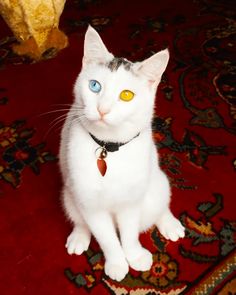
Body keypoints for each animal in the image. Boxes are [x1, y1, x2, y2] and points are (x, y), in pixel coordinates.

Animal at [59, 24, 184, 282]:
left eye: (127, 95)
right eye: (94, 85)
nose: (103, 109)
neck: (108, 149)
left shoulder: (131, 201)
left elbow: (129, 233)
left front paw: (134, 255)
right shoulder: (90, 205)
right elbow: (107, 238)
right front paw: (117, 262)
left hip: (156, 183)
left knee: (159, 204)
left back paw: (169, 223)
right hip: (68, 194)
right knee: (78, 218)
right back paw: (79, 236)